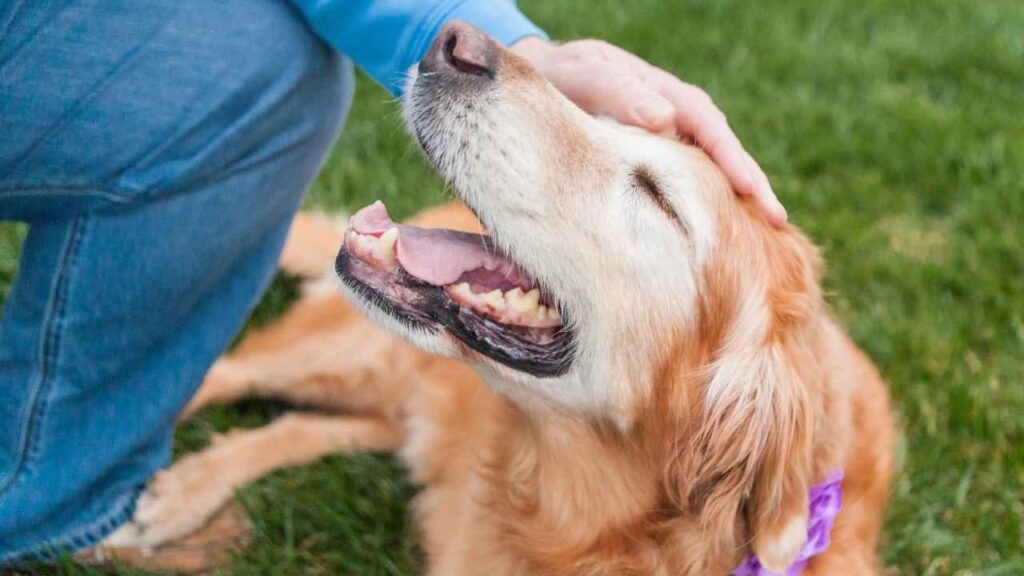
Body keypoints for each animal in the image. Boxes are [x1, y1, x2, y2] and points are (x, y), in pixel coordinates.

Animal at [99, 20, 892, 569]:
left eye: (657, 195)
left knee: (304, 425)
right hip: (358, 356)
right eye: (613, 119)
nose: (453, 41)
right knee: (220, 372)